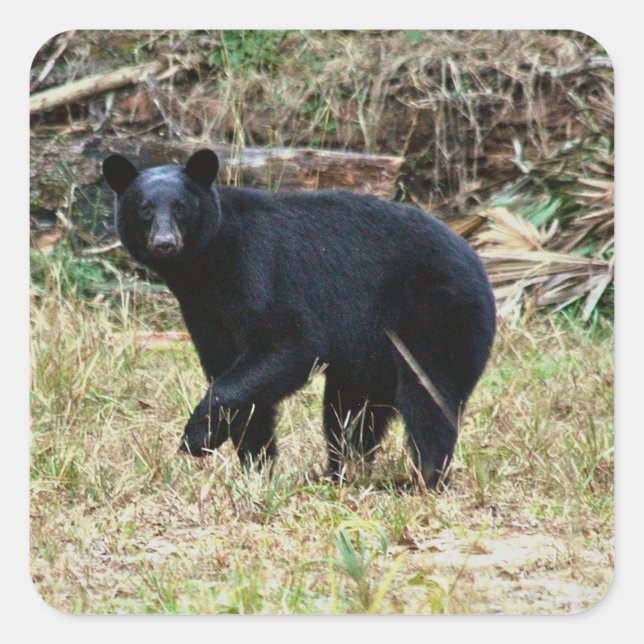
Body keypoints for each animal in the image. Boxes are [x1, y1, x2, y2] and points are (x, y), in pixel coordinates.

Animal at [103, 149, 496, 489]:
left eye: (181, 207)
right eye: (144, 209)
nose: (165, 243)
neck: (206, 268)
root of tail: (477, 263)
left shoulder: (258, 271)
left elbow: (291, 344)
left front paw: (196, 436)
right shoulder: (205, 314)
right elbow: (236, 377)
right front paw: (255, 468)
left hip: (438, 313)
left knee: (428, 395)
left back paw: (423, 479)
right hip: (372, 350)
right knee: (351, 411)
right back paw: (340, 472)